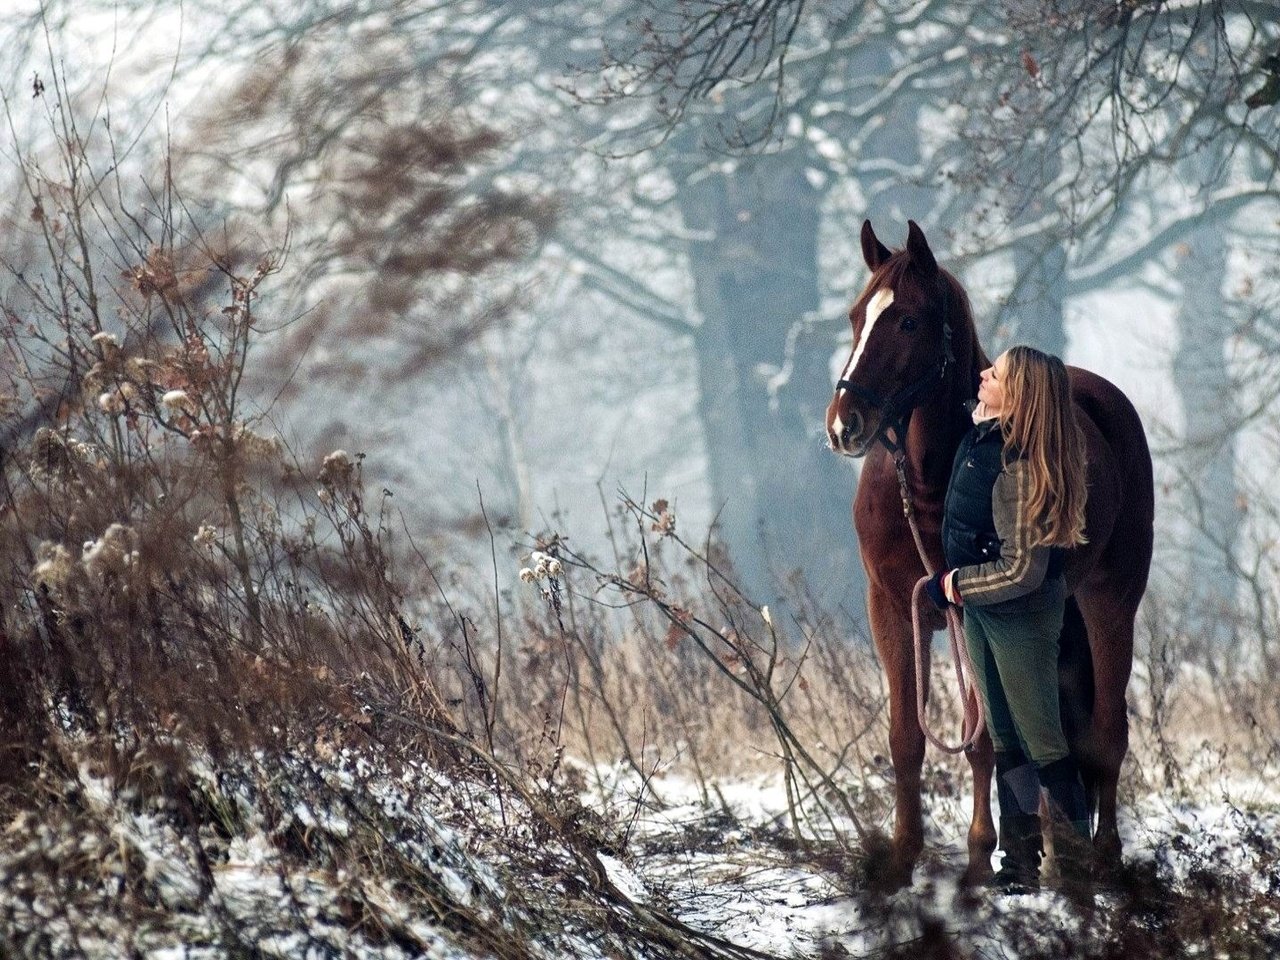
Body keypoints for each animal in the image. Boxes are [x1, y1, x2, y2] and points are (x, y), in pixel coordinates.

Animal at [824, 221, 1157, 890]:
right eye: (855, 317)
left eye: (907, 321)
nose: (844, 425)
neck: (932, 483)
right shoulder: (892, 611)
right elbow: (906, 737)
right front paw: (900, 861)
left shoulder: (968, 610)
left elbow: (980, 742)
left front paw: (980, 858)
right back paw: (1059, 854)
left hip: (1111, 602)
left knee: (1106, 732)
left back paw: (1101, 861)